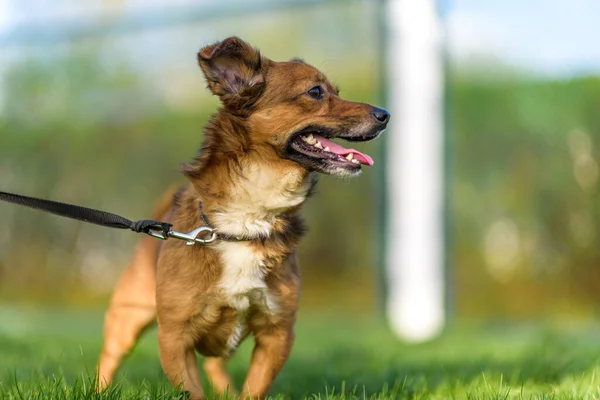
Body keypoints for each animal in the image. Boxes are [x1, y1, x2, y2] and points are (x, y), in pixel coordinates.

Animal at [96, 36, 390, 398]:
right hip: (127, 319)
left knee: (215, 365)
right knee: (109, 359)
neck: (248, 219)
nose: (385, 115)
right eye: (316, 92)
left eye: (337, 90)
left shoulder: (277, 333)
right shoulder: (175, 338)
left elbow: (254, 389)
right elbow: (192, 391)